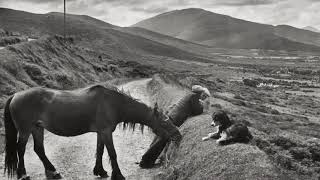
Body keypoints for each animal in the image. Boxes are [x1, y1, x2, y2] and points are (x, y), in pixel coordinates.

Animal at [2, 84, 181, 180]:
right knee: (21, 149)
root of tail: (15, 95)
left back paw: (53, 171)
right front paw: (118, 174)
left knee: (39, 149)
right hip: (25, 130)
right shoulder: (106, 132)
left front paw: (100, 171)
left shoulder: (101, 133)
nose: (178, 136)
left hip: (37, 128)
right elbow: (112, 154)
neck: (113, 103)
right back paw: (22, 174)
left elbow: (100, 151)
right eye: (164, 122)